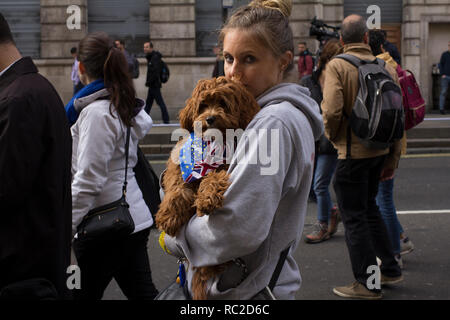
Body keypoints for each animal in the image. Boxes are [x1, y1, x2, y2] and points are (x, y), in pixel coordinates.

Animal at [156, 76, 260, 298]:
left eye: (223, 103)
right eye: (203, 105)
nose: (210, 118)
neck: (212, 145)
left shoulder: (224, 167)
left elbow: (213, 178)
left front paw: (207, 198)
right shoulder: (179, 164)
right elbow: (177, 187)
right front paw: (168, 215)